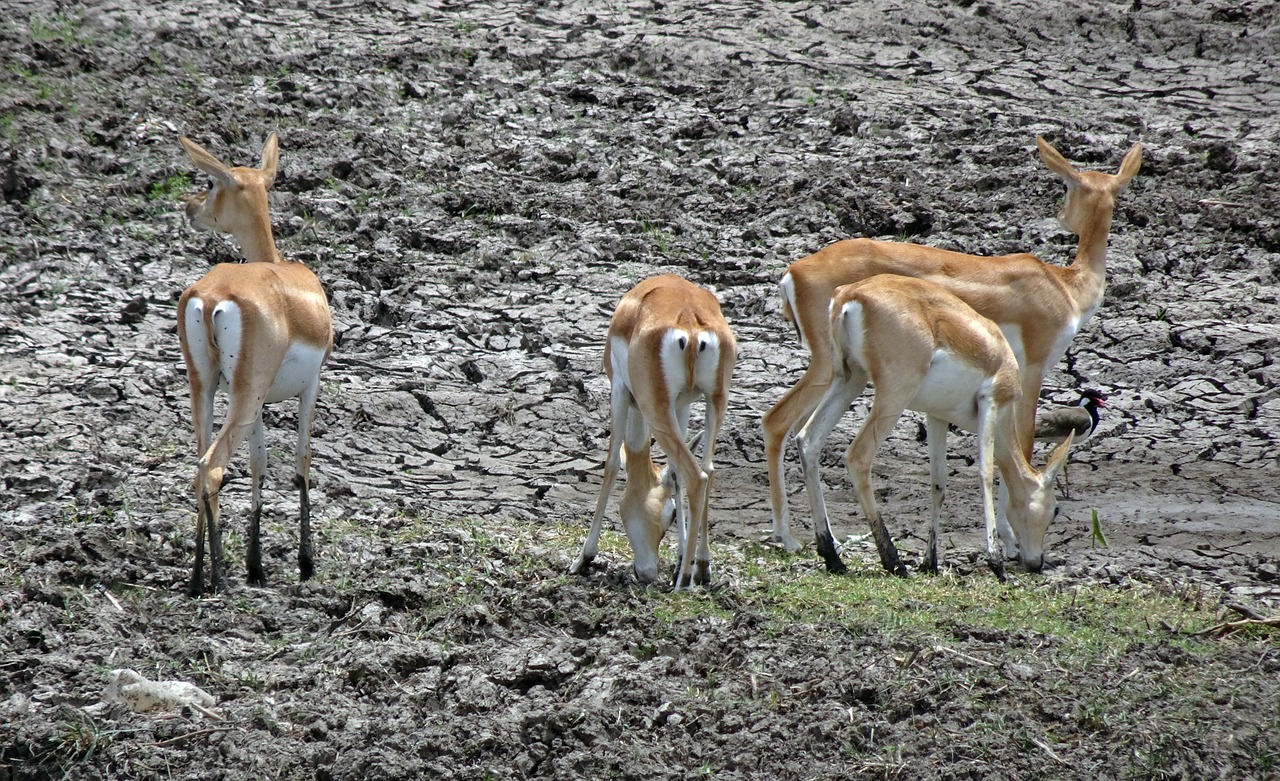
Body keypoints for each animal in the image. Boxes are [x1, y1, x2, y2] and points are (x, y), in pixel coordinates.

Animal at [175, 135, 335, 596]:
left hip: (208, 388)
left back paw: (197, 579)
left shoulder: (259, 399)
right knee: (212, 468)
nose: (190, 208)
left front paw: (256, 566)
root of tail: (213, 296)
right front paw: (305, 563)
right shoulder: (311, 386)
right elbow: (302, 461)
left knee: (199, 464)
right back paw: (218, 579)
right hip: (244, 396)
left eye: (212, 182)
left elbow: (259, 465)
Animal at [573, 276, 742, 586]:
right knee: (707, 469)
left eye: (672, 515)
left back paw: (684, 581)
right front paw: (680, 559)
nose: (647, 573)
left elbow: (611, 465)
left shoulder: (619, 389)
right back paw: (701, 567)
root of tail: (690, 321)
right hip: (716, 400)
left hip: (655, 408)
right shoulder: (682, 403)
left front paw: (583, 558)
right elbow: (674, 475)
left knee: (696, 475)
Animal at [793, 275, 1075, 578]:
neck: (997, 355)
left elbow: (938, 484)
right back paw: (894, 562)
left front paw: (931, 562)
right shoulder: (991, 403)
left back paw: (833, 558)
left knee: (808, 441)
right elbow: (986, 473)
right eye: (1055, 510)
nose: (1036, 562)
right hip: (893, 395)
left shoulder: (937, 415)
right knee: (857, 456)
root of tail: (850, 294)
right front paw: (996, 562)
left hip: (849, 379)